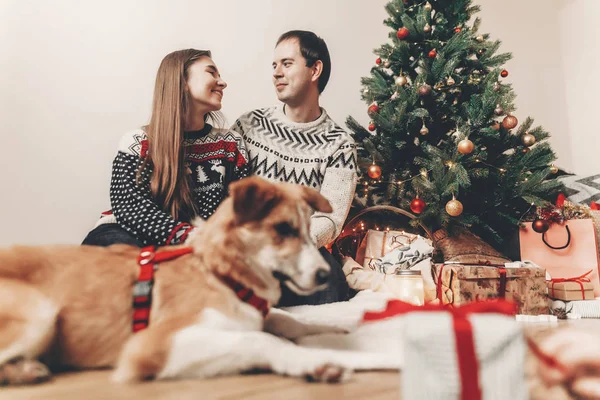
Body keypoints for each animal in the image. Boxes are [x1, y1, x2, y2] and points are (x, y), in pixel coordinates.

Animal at [0, 177, 394, 384]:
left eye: (307, 230)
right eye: (283, 229)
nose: (328, 274)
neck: (219, 274)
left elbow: (289, 319)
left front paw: (339, 324)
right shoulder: (154, 345)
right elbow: (260, 339)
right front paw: (316, 360)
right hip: (40, 311)